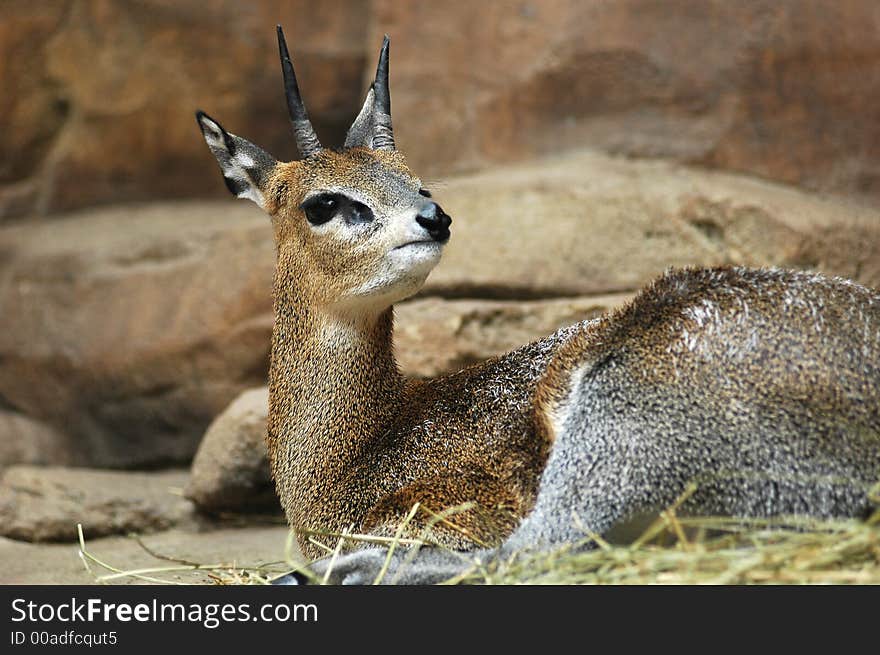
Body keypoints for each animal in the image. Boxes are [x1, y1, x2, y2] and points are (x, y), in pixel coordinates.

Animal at [198, 28, 880, 588]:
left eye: (417, 181)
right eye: (322, 203)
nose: (434, 216)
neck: (359, 454)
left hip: (617, 428)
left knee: (537, 552)